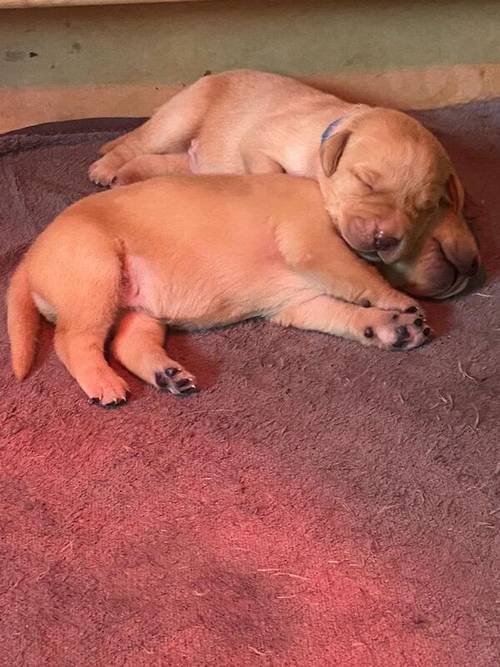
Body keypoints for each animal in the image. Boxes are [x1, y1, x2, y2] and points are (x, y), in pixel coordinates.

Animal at [6, 175, 430, 408]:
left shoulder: (300, 302)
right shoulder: (315, 244)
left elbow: (346, 313)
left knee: (127, 343)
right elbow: (360, 275)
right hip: (96, 274)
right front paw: (401, 302)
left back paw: (167, 375)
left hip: (139, 308)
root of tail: (29, 259)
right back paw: (103, 382)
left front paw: (391, 326)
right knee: (73, 342)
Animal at [89, 71, 480, 290]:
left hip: (193, 161)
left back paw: (126, 176)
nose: (384, 238)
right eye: (365, 181)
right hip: (183, 116)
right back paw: (106, 167)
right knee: (137, 142)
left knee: (159, 160)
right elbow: (269, 174)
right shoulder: (261, 142)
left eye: (424, 208)